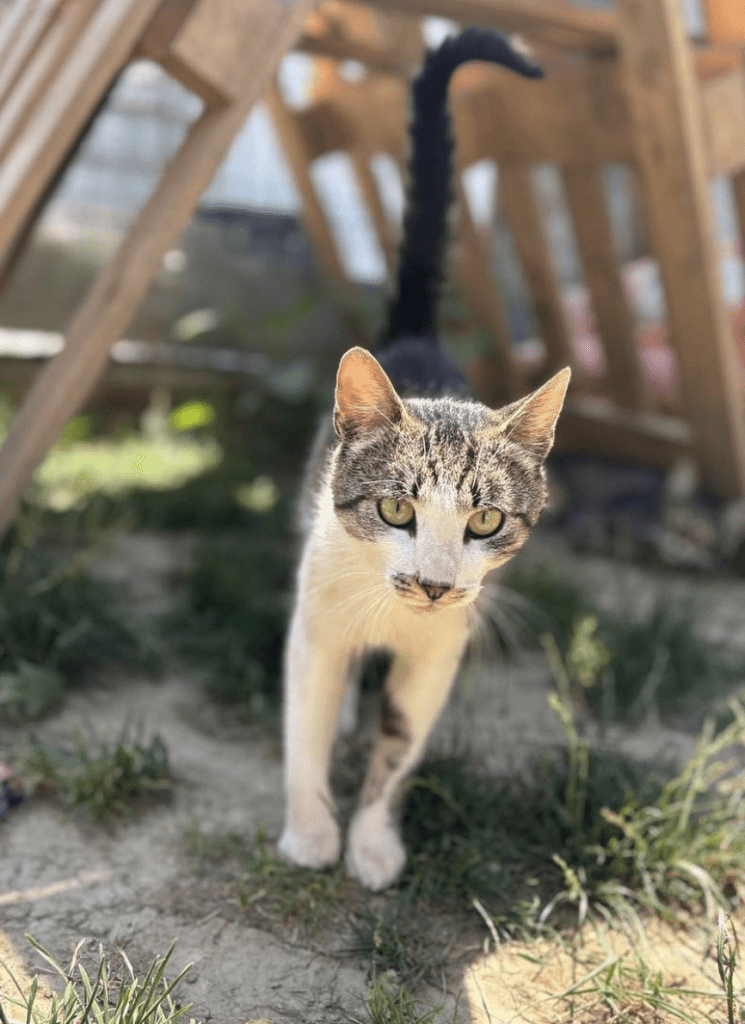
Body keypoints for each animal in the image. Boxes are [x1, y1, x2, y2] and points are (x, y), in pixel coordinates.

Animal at [278, 24, 568, 888]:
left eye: (485, 521)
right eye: (396, 508)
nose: (437, 585)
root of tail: (417, 338)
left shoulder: (437, 656)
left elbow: (399, 750)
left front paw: (373, 843)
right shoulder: (316, 627)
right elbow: (303, 729)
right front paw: (311, 832)